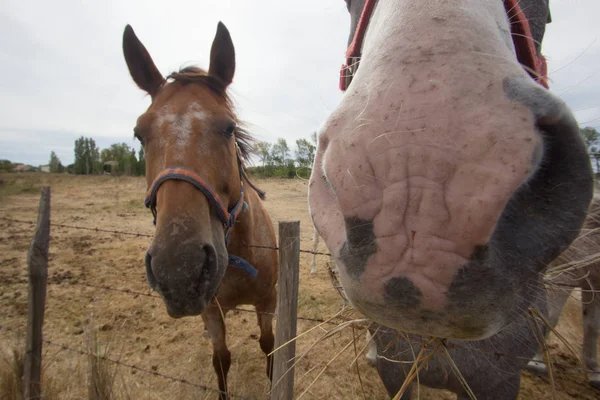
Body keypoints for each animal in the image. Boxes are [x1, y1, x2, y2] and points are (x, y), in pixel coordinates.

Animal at [122, 22, 282, 400]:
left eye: (228, 127)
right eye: (139, 134)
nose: (179, 268)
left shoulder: (268, 301)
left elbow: (268, 345)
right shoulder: (209, 309)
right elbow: (220, 358)